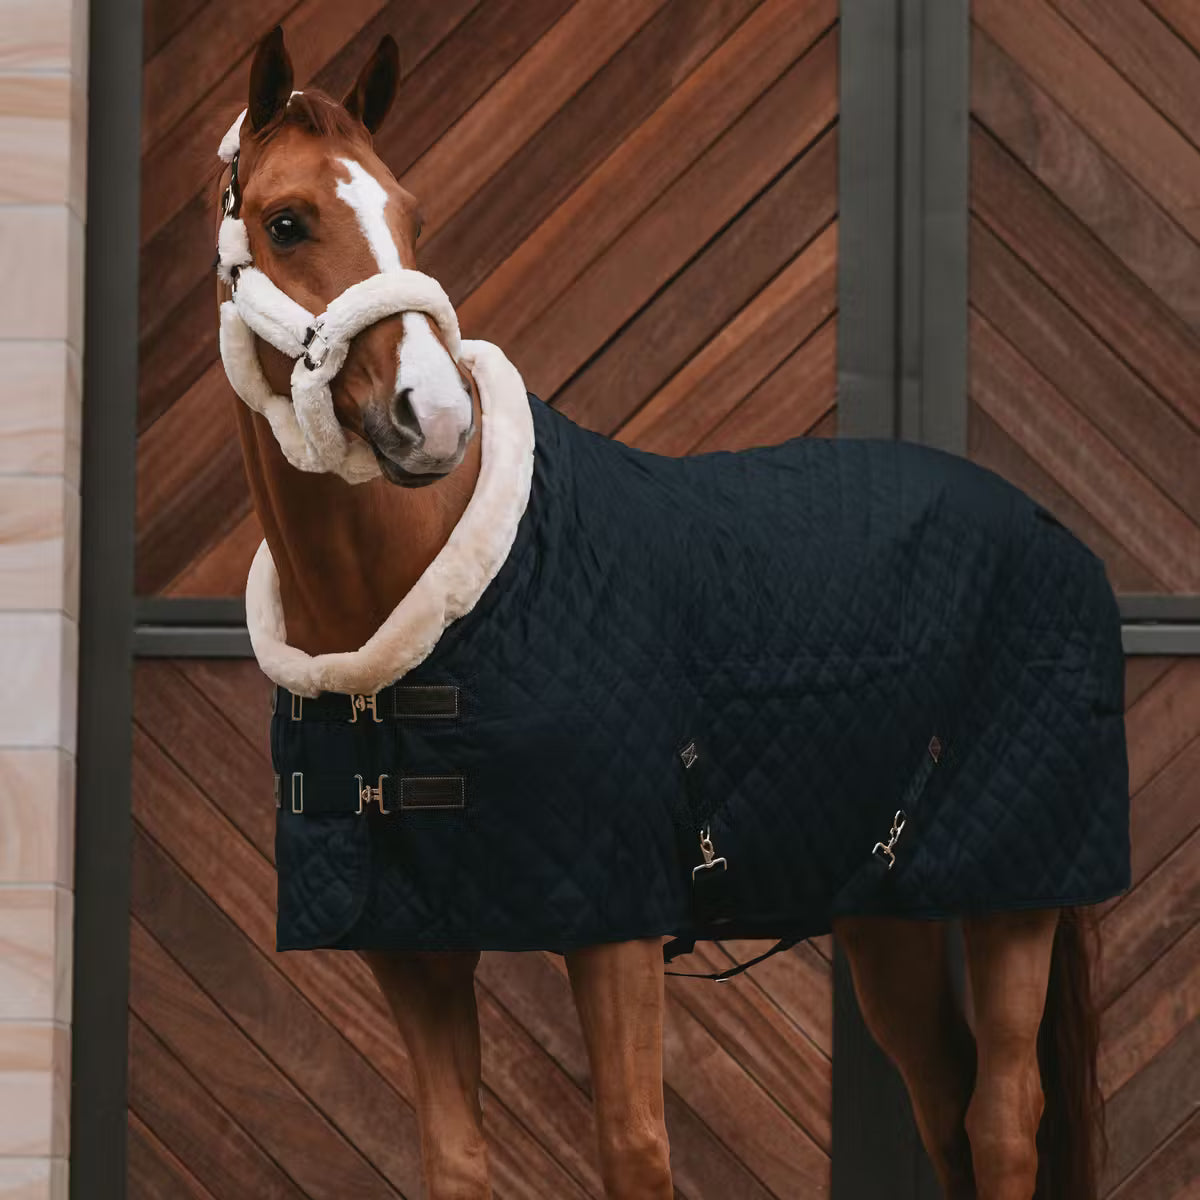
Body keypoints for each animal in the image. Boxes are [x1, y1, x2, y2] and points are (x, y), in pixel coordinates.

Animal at [213, 26, 1122, 1199]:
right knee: (945, 1106)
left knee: (1003, 1122)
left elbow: (635, 1151)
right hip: (889, 916)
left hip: (1015, 900)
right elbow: (454, 1159)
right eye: (287, 221)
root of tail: (1053, 528)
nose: (437, 416)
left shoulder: (616, 930)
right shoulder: (412, 949)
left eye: (410, 214)